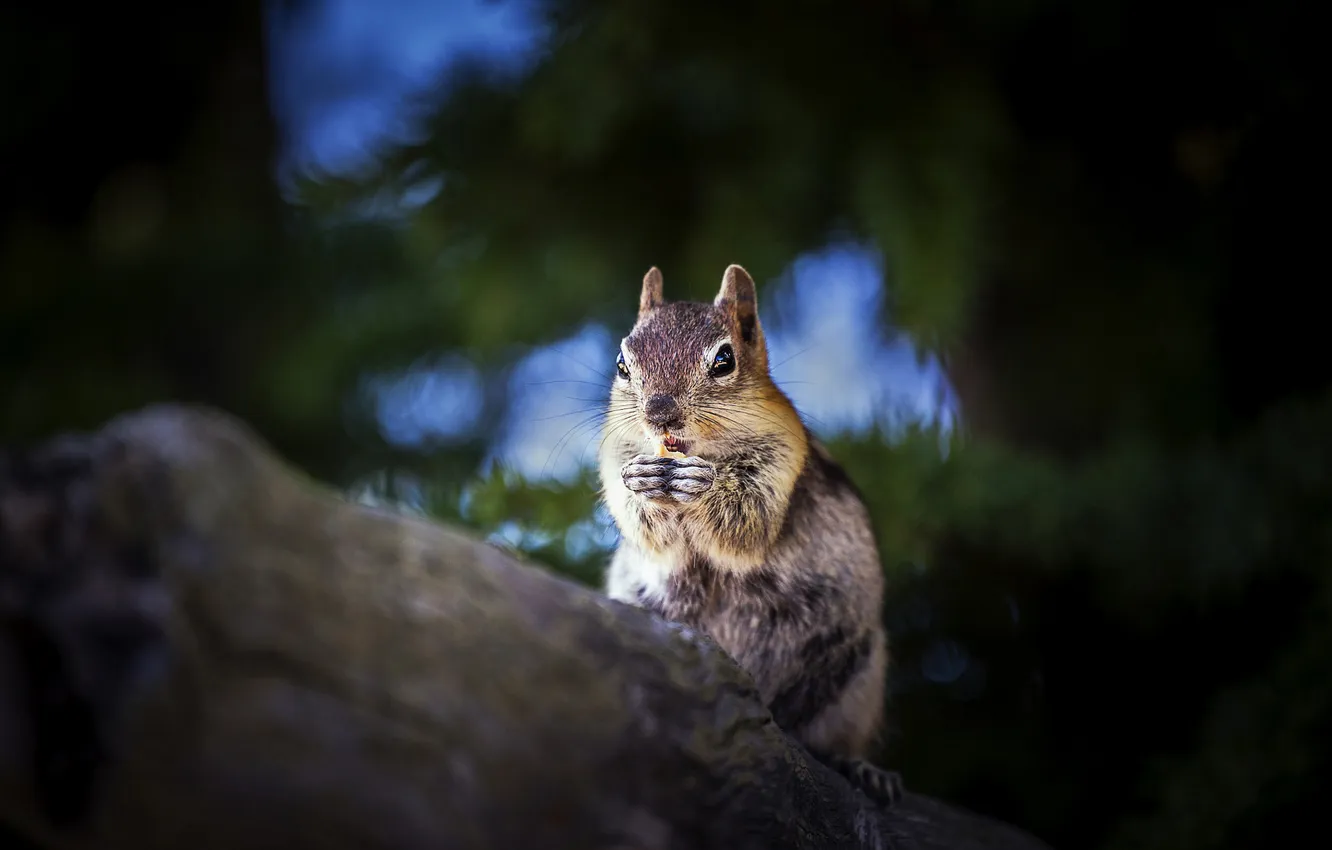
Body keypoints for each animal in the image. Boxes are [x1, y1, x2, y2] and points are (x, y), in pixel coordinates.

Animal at [597, 263, 903, 806]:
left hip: (858, 680)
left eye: (724, 360)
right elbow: (647, 531)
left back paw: (863, 768)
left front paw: (704, 486)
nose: (660, 414)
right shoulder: (616, 458)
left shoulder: (780, 460)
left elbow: (747, 526)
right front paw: (647, 487)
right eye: (621, 363)